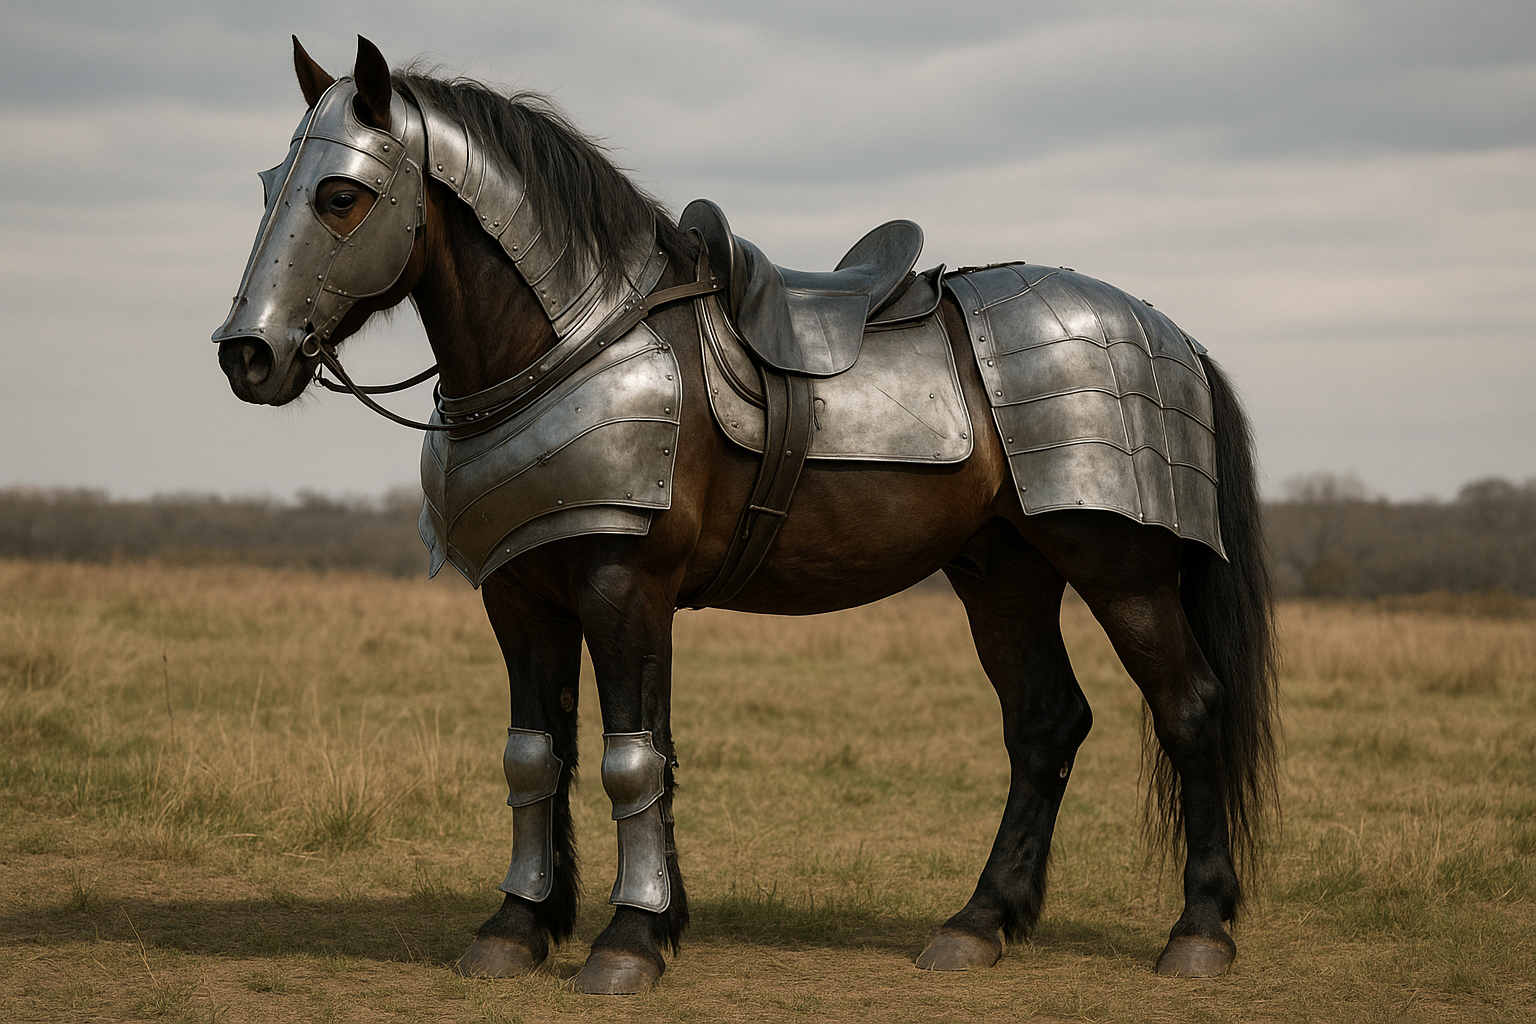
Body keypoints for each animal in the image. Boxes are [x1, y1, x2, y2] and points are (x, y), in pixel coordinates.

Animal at [212, 36, 1278, 995]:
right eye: (269, 185)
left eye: (340, 196)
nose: (246, 354)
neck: (570, 343)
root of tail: (1170, 330)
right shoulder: (521, 596)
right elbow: (535, 756)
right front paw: (521, 925)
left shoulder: (624, 585)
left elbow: (629, 761)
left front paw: (629, 942)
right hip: (1003, 573)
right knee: (1046, 726)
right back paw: (978, 923)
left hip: (1119, 567)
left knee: (1190, 710)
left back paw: (1198, 933)